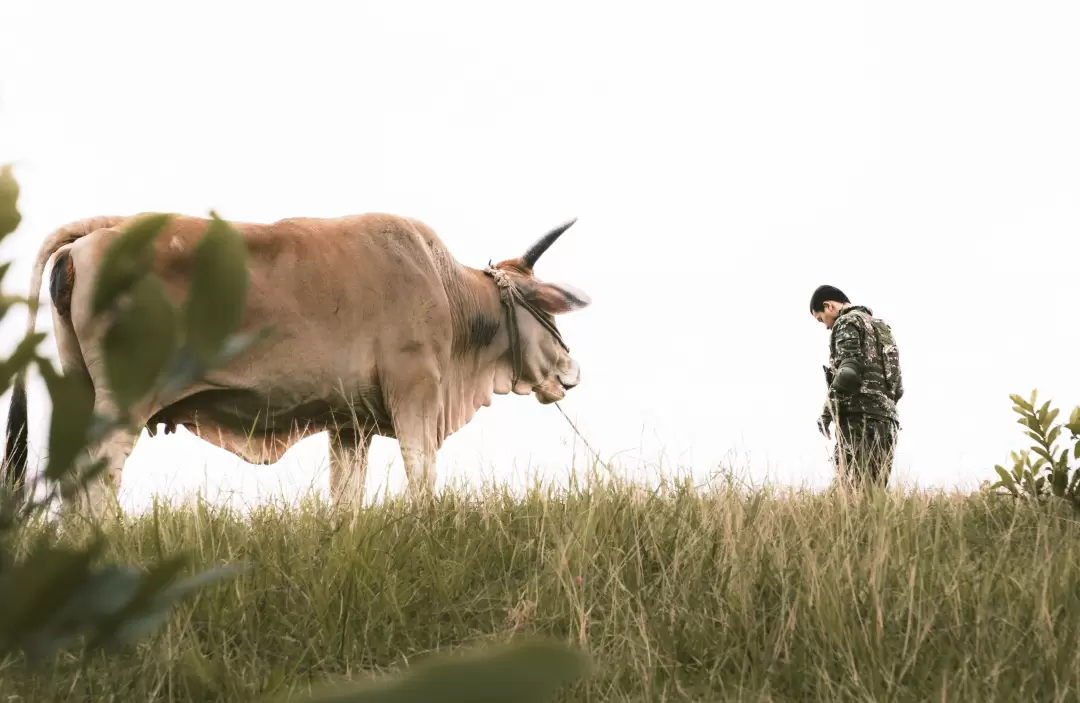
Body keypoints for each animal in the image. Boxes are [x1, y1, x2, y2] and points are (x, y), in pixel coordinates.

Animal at [2, 212, 591, 514]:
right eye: (544, 307)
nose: (571, 370)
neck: (444, 288)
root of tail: (91, 237)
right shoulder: (415, 394)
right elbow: (421, 476)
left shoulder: (350, 424)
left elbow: (346, 499)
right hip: (123, 404)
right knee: (98, 477)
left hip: (81, 391)